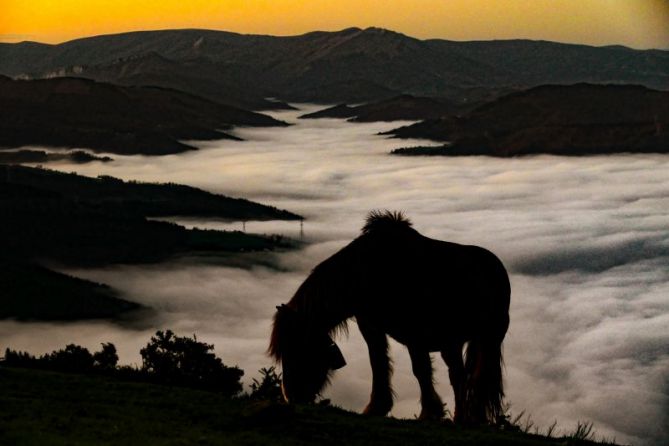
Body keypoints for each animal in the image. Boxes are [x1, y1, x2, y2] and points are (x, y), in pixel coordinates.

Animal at [268, 211, 508, 424]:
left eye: (296, 346)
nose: (292, 396)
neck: (367, 272)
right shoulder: (371, 326)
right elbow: (378, 362)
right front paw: (377, 407)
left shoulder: (415, 335)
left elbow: (421, 371)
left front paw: (429, 413)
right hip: (458, 343)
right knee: (463, 375)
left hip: (488, 339)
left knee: (477, 377)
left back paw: (468, 418)